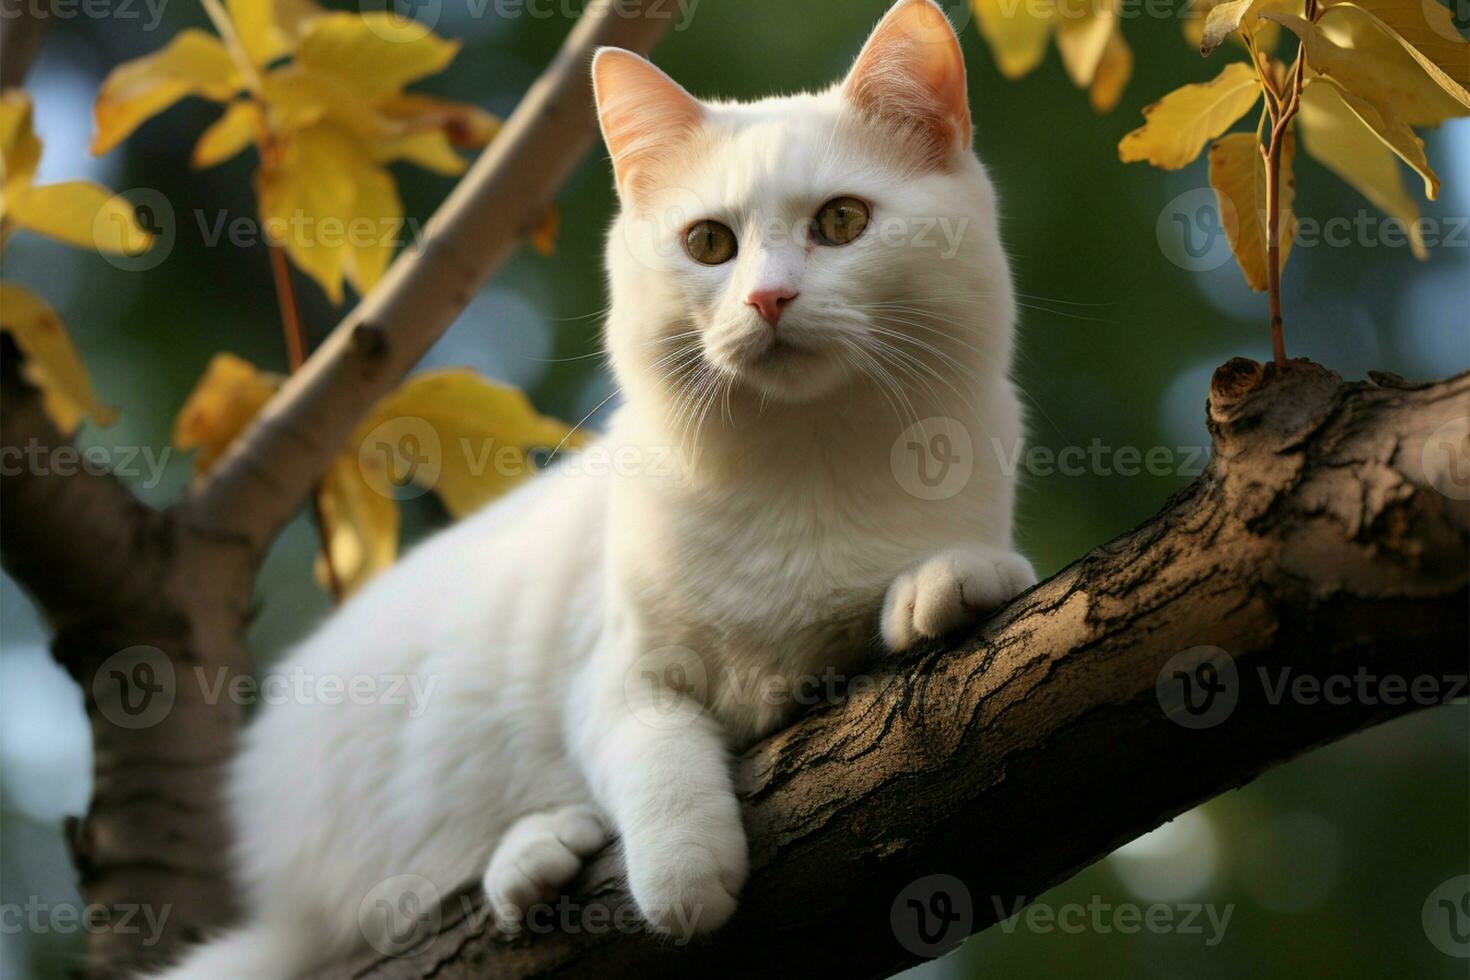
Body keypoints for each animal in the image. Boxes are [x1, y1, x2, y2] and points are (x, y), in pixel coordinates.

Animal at [152, 3, 1034, 975]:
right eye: (709, 244)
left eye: (842, 222)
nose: (768, 299)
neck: (803, 464)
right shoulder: (616, 671)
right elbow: (652, 753)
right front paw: (685, 876)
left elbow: (950, 577)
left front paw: (951, 583)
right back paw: (534, 856)